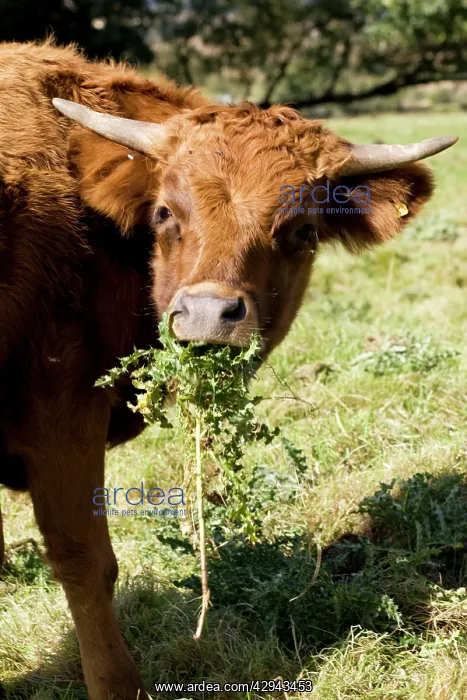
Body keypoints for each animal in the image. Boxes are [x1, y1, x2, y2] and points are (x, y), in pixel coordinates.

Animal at [0, 40, 457, 700]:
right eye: (164, 213)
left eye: (303, 229)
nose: (209, 315)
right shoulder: (61, 415)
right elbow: (85, 560)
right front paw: (118, 683)